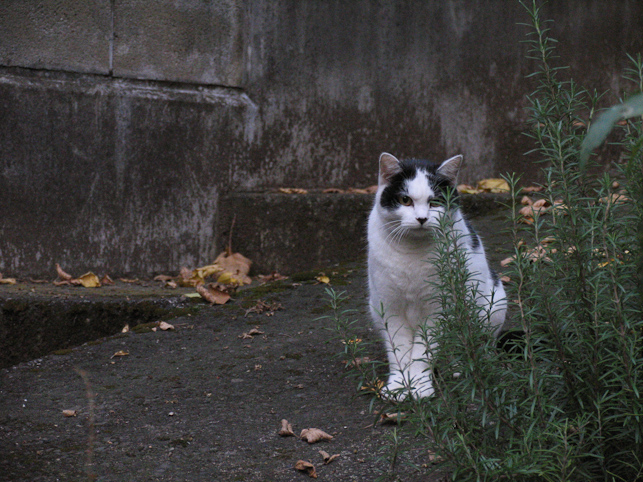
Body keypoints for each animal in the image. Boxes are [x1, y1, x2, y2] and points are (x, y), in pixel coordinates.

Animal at [368, 153, 508, 400]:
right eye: (405, 200)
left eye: (435, 202)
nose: (422, 218)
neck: (411, 253)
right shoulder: (389, 308)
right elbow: (399, 352)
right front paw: (398, 386)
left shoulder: (437, 310)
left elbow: (422, 351)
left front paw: (419, 386)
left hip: (494, 305)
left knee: (480, 346)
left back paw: (461, 366)